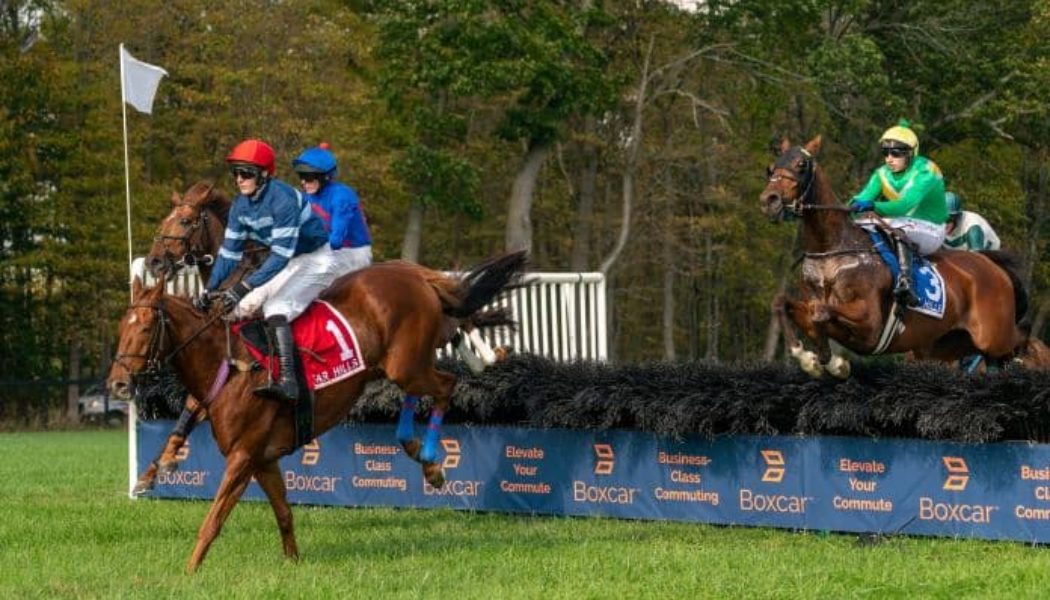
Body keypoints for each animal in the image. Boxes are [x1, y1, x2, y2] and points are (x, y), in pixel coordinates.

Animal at [108, 250, 527, 572]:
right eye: (121, 326)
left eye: (145, 327)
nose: (117, 384)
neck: (229, 366)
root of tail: (412, 272)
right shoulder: (263, 459)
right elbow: (283, 513)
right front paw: (293, 563)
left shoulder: (243, 456)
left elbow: (213, 520)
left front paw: (190, 571)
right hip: (404, 363)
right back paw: (418, 450)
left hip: (406, 364)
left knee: (447, 385)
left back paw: (430, 460)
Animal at [759, 135, 1028, 378]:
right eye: (771, 167)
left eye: (801, 165)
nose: (768, 201)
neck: (832, 251)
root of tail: (993, 265)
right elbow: (785, 304)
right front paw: (812, 359)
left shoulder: (870, 324)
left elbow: (820, 312)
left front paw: (829, 360)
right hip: (944, 344)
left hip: (993, 336)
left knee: (1017, 344)